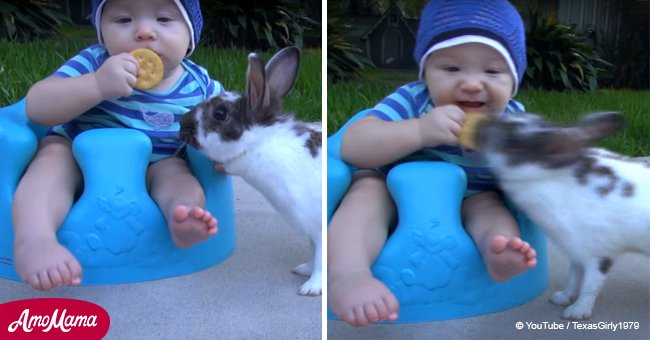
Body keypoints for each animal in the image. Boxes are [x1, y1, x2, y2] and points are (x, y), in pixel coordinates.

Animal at [177, 46, 322, 296]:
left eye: (220, 113)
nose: (181, 124)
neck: (261, 145)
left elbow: (322, 257)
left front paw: (312, 287)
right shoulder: (310, 227)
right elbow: (313, 252)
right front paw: (304, 269)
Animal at [470, 111, 648, 318]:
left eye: (513, 142)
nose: (480, 126)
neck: (550, 178)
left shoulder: (599, 255)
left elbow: (589, 286)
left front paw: (577, 312)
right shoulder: (576, 252)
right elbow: (573, 278)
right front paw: (562, 298)